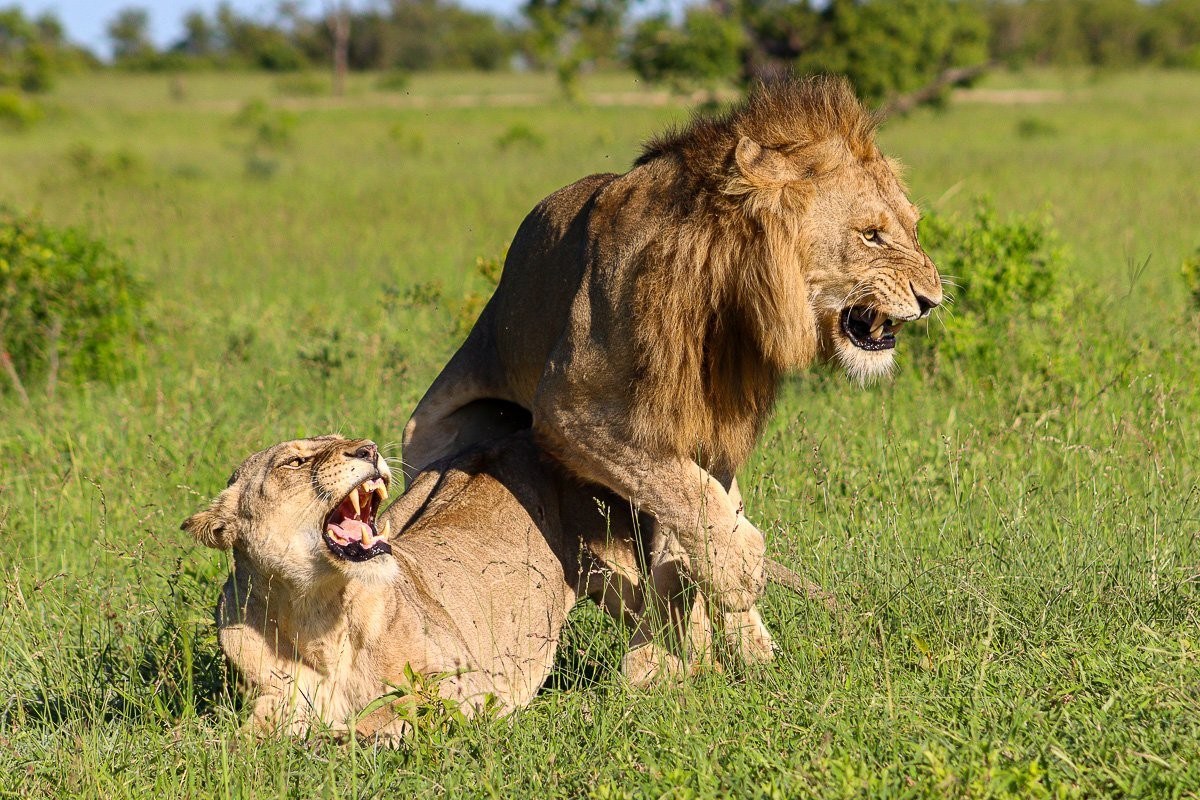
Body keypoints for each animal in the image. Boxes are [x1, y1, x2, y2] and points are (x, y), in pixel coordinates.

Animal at [183, 433, 775, 739]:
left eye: (343, 439)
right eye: (295, 460)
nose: (368, 449)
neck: (316, 616)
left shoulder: (464, 687)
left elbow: (392, 717)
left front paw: (349, 735)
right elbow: (243, 737)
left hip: (624, 569)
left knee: (697, 581)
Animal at [401, 76, 943, 659]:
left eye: (911, 228)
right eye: (871, 235)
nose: (932, 300)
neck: (725, 294)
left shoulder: (715, 431)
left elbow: (694, 501)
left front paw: (719, 635)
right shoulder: (572, 409)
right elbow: (685, 493)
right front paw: (734, 576)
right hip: (428, 437)